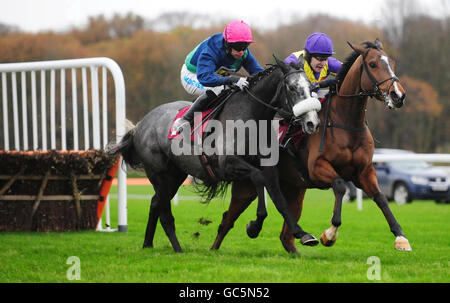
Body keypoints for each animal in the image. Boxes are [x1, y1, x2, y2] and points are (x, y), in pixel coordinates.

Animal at [213, 39, 414, 254]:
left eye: (391, 63)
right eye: (373, 64)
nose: (398, 95)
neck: (346, 124)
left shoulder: (365, 171)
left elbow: (380, 197)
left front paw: (401, 237)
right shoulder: (317, 167)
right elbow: (340, 186)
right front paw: (330, 234)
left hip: (294, 189)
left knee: (284, 235)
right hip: (246, 187)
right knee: (227, 220)